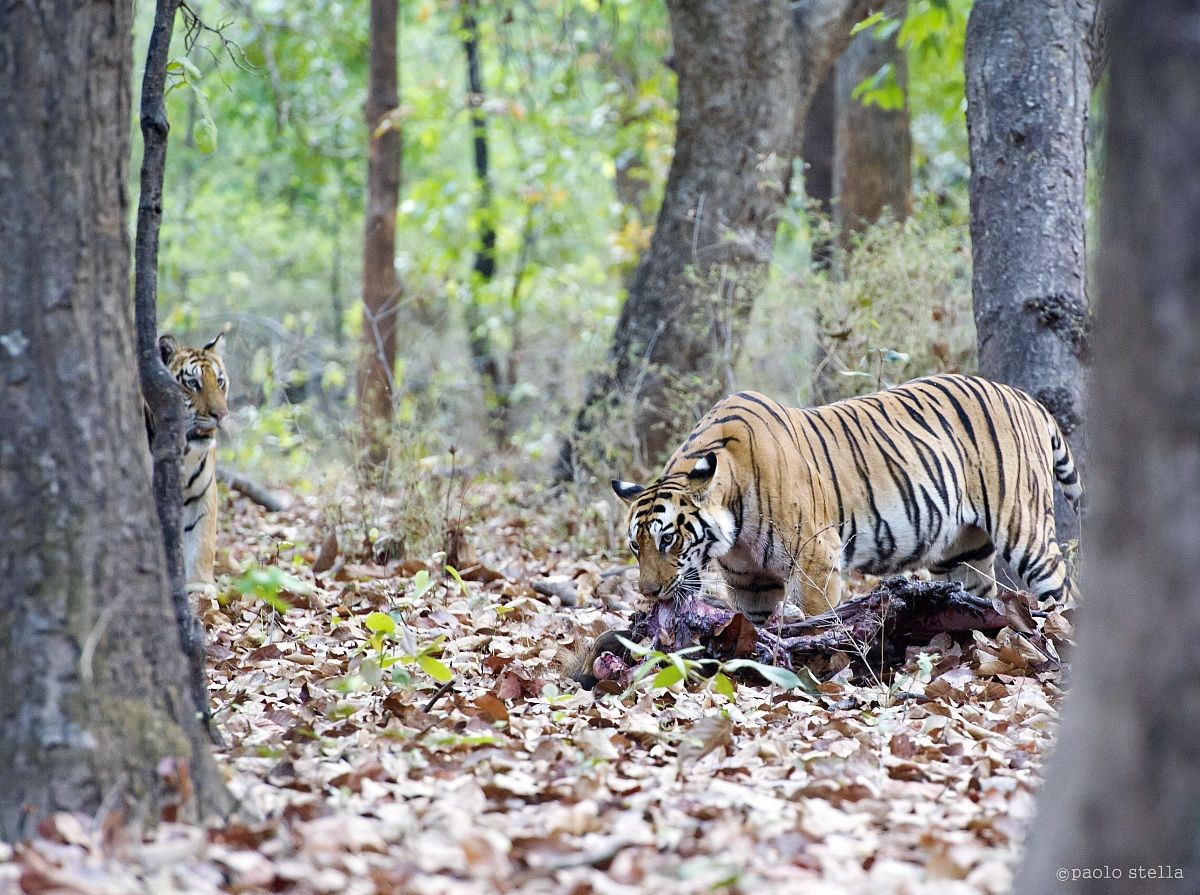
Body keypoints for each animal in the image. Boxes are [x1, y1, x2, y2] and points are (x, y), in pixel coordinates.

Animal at [158, 333, 229, 589]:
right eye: (193, 383)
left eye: (220, 382)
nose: (221, 415)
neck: (186, 453)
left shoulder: (204, 494)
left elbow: (202, 541)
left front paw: (200, 586)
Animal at [612, 374, 1081, 623]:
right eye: (636, 547)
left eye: (668, 539)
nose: (649, 592)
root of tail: (1024, 397)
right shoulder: (750, 582)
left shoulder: (815, 557)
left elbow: (816, 617)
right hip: (961, 553)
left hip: (1025, 530)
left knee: (1064, 590)